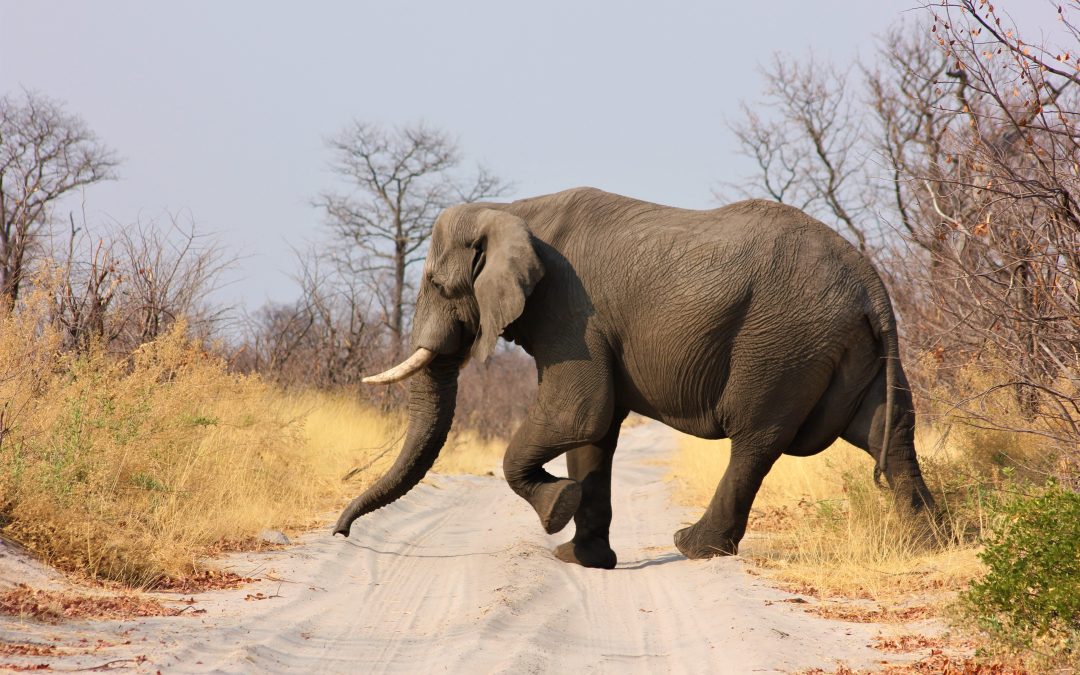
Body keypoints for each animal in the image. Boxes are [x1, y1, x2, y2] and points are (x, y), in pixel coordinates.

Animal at [336, 186, 937, 565]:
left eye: (438, 285)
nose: (340, 533)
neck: (511, 210)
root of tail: (872, 283)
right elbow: (594, 433)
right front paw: (580, 558)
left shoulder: (570, 312)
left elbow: (579, 412)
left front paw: (556, 510)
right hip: (850, 348)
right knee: (887, 433)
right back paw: (928, 543)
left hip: (783, 341)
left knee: (756, 439)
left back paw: (694, 547)